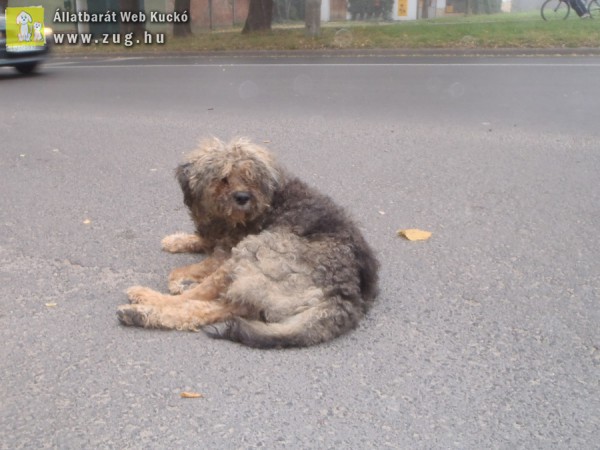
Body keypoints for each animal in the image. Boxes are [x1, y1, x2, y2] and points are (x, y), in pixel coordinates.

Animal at [116, 137, 378, 348]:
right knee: (210, 309)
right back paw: (142, 314)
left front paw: (181, 277)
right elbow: (202, 240)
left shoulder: (228, 250)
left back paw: (147, 300)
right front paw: (177, 240)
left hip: (254, 250)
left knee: (194, 299)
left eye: (251, 178)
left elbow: (184, 269)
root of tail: (343, 293)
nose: (242, 197)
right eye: (223, 178)